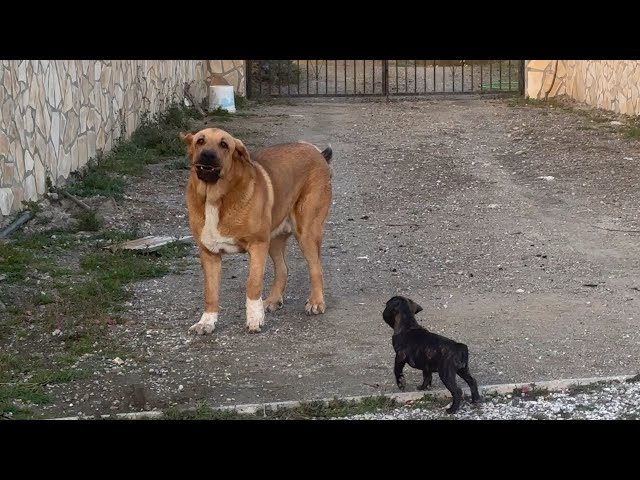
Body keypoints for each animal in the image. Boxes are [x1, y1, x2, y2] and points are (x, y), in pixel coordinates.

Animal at [179, 127, 332, 334]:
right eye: (200, 141)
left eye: (224, 144)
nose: (207, 155)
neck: (214, 197)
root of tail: (318, 153)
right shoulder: (209, 253)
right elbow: (210, 292)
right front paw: (207, 322)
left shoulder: (257, 246)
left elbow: (253, 284)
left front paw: (254, 319)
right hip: (274, 239)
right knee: (282, 268)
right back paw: (273, 300)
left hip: (306, 232)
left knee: (316, 268)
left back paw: (316, 302)